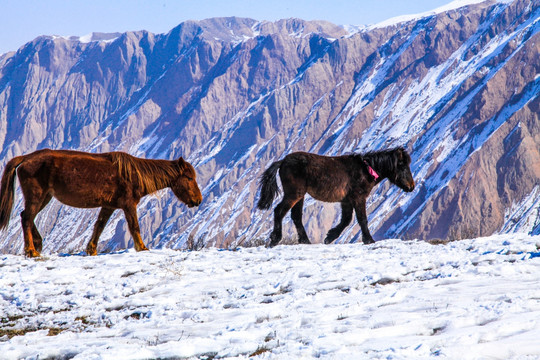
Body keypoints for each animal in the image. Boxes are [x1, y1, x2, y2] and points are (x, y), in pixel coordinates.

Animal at [0, 148, 202, 256]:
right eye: (189, 178)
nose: (198, 200)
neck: (133, 174)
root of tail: (26, 158)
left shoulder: (108, 206)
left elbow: (99, 226)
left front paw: (91, 249)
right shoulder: (128, 205)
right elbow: (134, 226)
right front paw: (142, 247)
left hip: (45, 197)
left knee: (26, 216)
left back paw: (38, 244)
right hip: (37, 196)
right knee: (27, 218)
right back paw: (31, 251)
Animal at [258, 148, 414, 246]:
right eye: (402, 166)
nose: (411, 187)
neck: (366, 171)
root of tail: (283, 161)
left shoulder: (347, 201)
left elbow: (346, 220)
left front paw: (329, 237)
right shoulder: (358, 198)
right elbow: (362, 219)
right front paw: (369, 240)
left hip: (299, 196)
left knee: (296, 216)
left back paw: (305, 241)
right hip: (293, 194)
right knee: (279, 211)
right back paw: (275, 239)